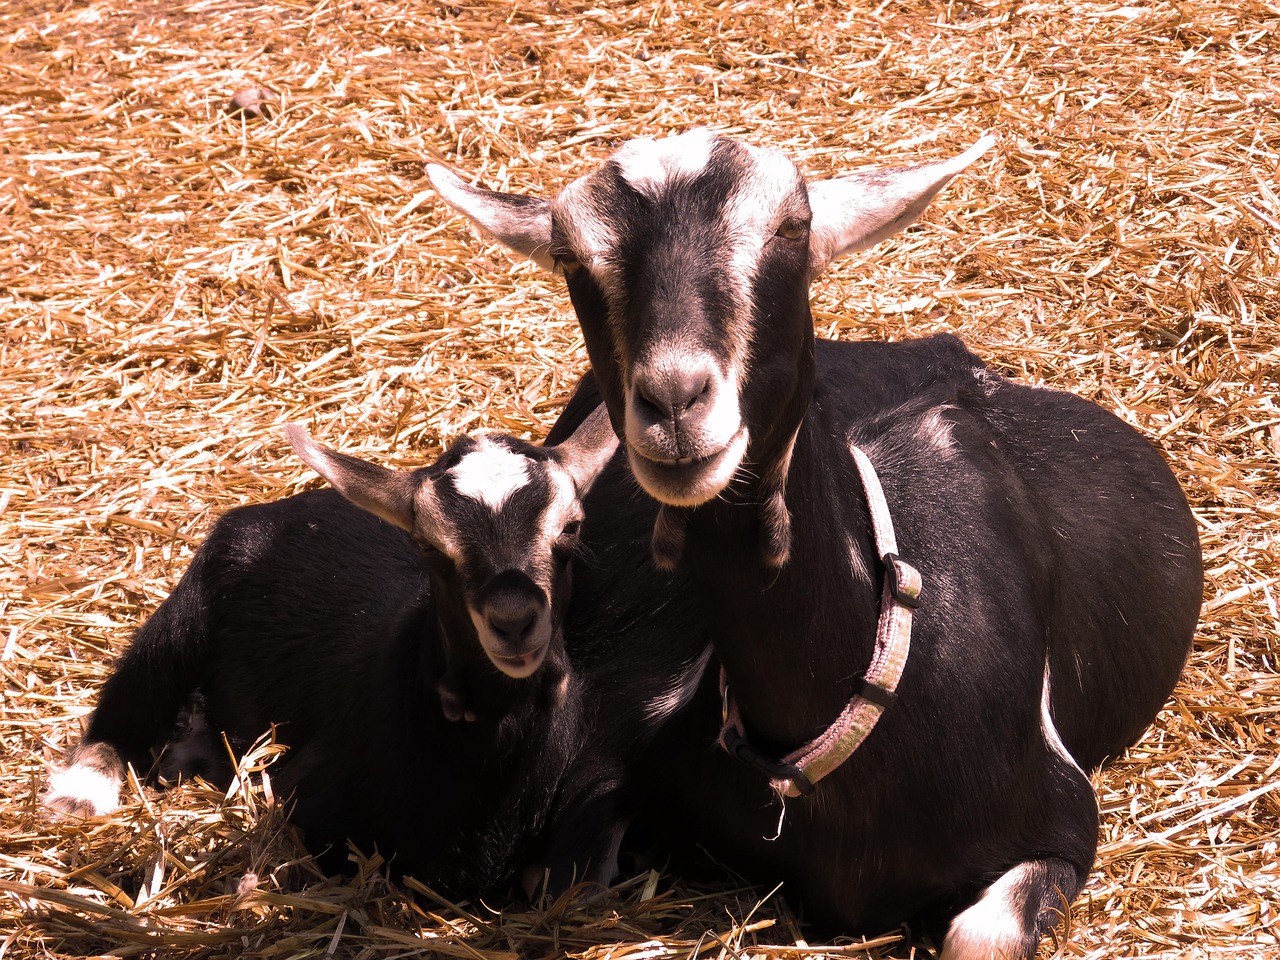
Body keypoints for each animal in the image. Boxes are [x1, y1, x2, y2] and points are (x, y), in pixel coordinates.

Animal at [45, 408, 651, 895]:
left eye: (571, 529)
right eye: (431, 547)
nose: (514, 620)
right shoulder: (307, 806)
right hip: (188, 609)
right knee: (133, 691)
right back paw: (80, 794)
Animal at [426, 131, 1203, 957]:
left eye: (793, 230)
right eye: (571, 257)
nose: (674, 403)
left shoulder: (1061, 816)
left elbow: (980, 936)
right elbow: (561, 876)